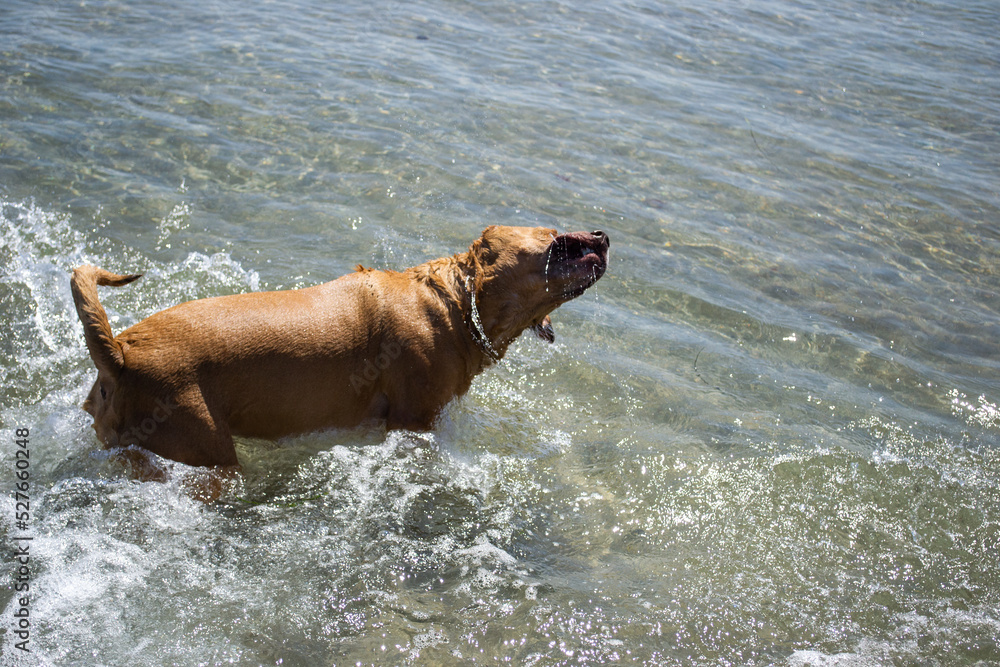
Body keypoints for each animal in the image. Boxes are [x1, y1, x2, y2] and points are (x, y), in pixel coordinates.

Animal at [72, 227, 608, 468]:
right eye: (557, 240)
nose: (603, 236)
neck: (455, 303)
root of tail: (120, 354)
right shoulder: (415, 421)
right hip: (204, 449)